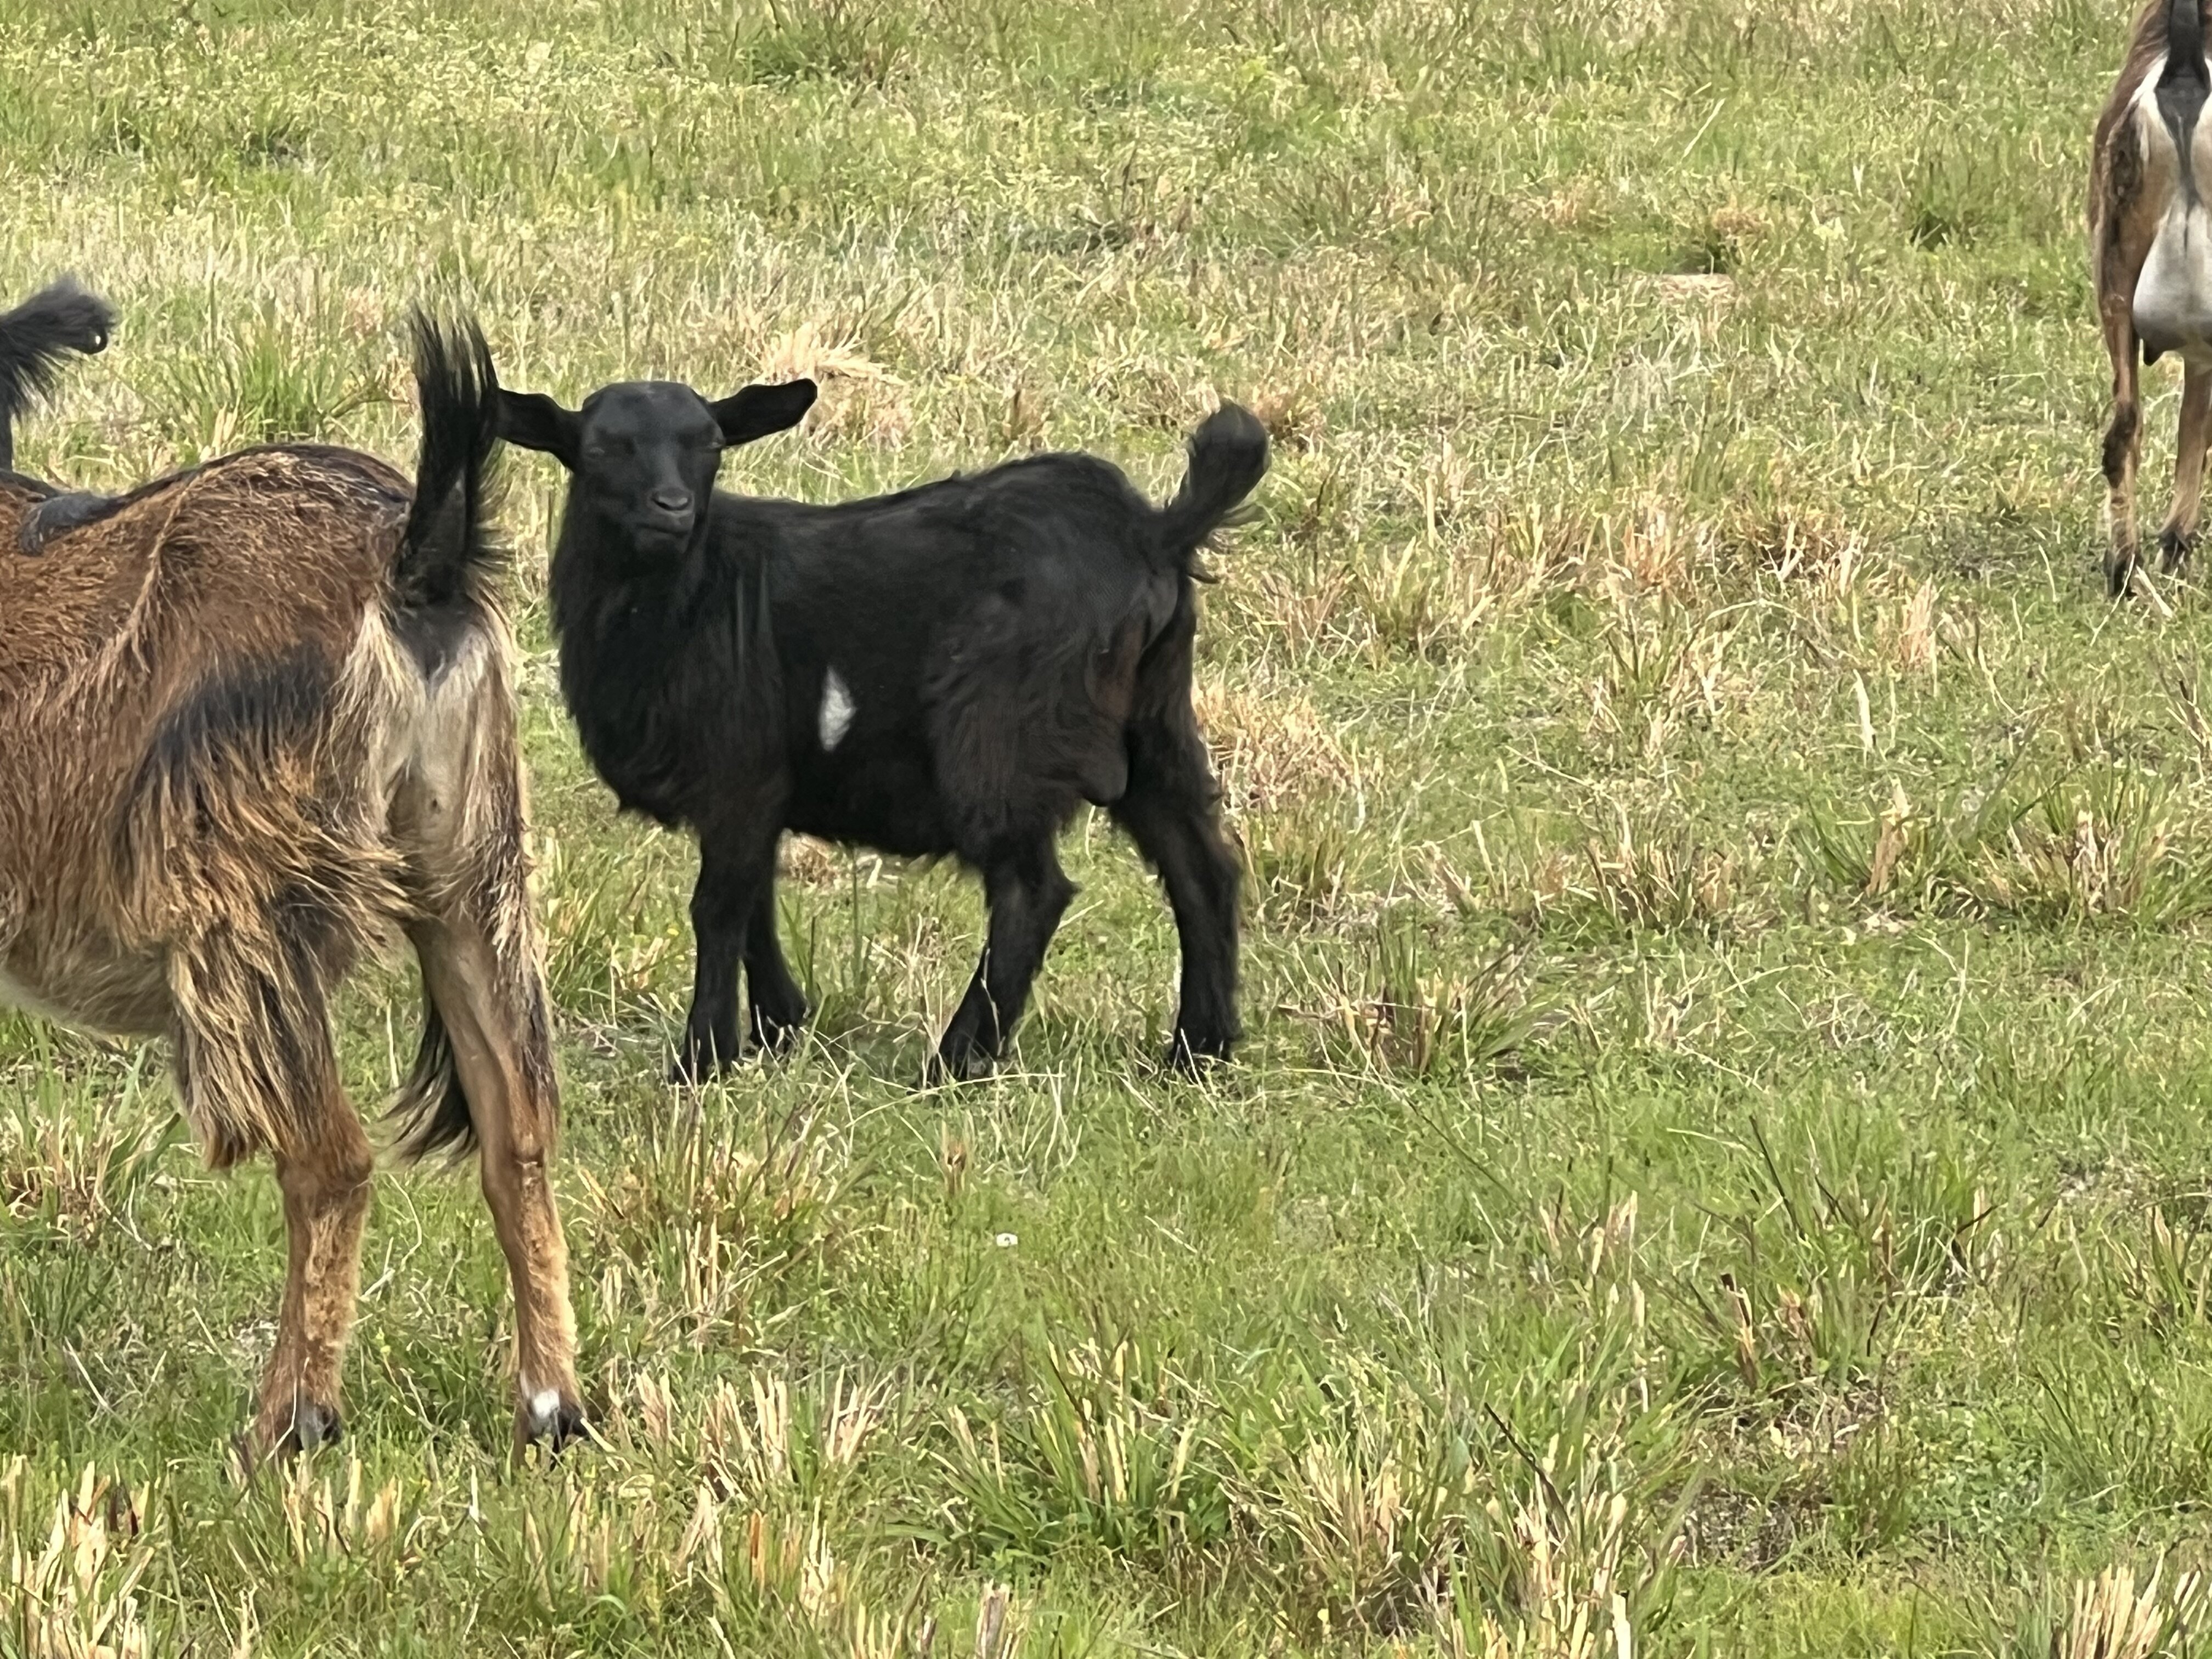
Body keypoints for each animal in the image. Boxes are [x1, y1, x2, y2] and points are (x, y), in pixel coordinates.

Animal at [0, 283, 583, 1460]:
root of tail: (412, 561)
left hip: (248, 916)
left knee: (333, 1160)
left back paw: (291, 1418)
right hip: (471, 872)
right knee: (518, 1134)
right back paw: (550, 1403)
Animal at [494, 355, 1266, 1082]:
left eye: (711, 443)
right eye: (599, 449)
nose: (673, 508)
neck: (690, 598)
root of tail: (1154, 533)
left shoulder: (738, 771)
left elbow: (718, 907)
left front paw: (703, 1060)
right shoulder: (762, 787)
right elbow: (755, 901)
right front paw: (780, 1025)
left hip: (1001, 735)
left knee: (1033, 891)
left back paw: (955, 1062)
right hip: (1155, 721)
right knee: (1203, 868)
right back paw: (1197, 1051)